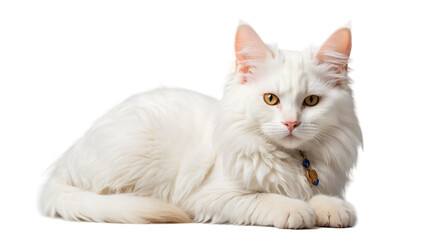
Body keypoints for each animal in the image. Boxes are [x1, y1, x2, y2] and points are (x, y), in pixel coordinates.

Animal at [39, 23, 362, 229]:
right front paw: (297, 209)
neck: (294, 160)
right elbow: (267, 198)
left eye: (311, 101)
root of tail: (60, 168)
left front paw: (330, 209)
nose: (291, 123)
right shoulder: (211, 196)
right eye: (271, 99)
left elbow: (320, 197)